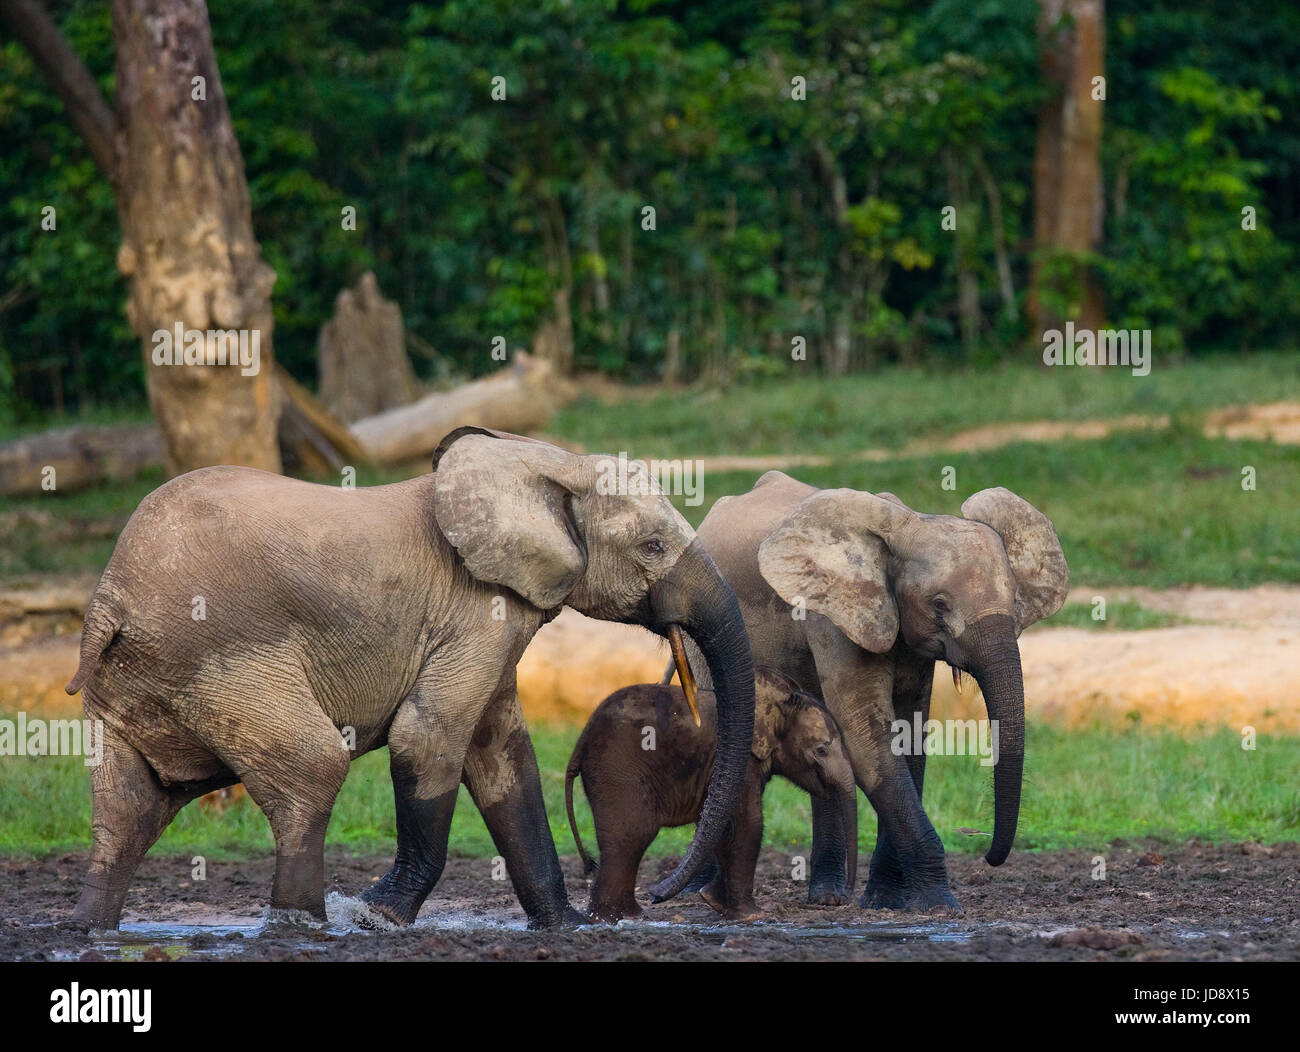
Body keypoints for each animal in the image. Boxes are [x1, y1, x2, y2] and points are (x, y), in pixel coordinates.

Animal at [65, 426, 759, 925]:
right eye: (652, 548)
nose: (665, 896)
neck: (547, 463)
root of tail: (109, 600)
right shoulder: (476, 612)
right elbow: (430, 741)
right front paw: (380, 918)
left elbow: (501, 758)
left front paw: (565, 928)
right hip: (221, 659)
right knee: (312, 767)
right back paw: (302, 927)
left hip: (141, 678)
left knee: (130, 806)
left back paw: (92, 930)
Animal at [564, 665, 857, 920]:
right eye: (821, 750)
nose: (845, 897)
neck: (779, 700)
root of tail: (581, 741)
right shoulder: (742, 761)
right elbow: (748, 823)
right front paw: (752, 916)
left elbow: (724, 824)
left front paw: (714, 902)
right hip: (618, 769)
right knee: (633, 834)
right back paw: (619, 916)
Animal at [681, 473, 1066, 910]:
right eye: (939, 605)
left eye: (1014, 600)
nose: (988, 855)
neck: (909, 525)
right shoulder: (835, 616)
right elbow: (867, 737)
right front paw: (938, 905)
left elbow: (909, 737)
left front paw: (886, 901)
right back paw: (700, 894)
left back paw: (827, 898)